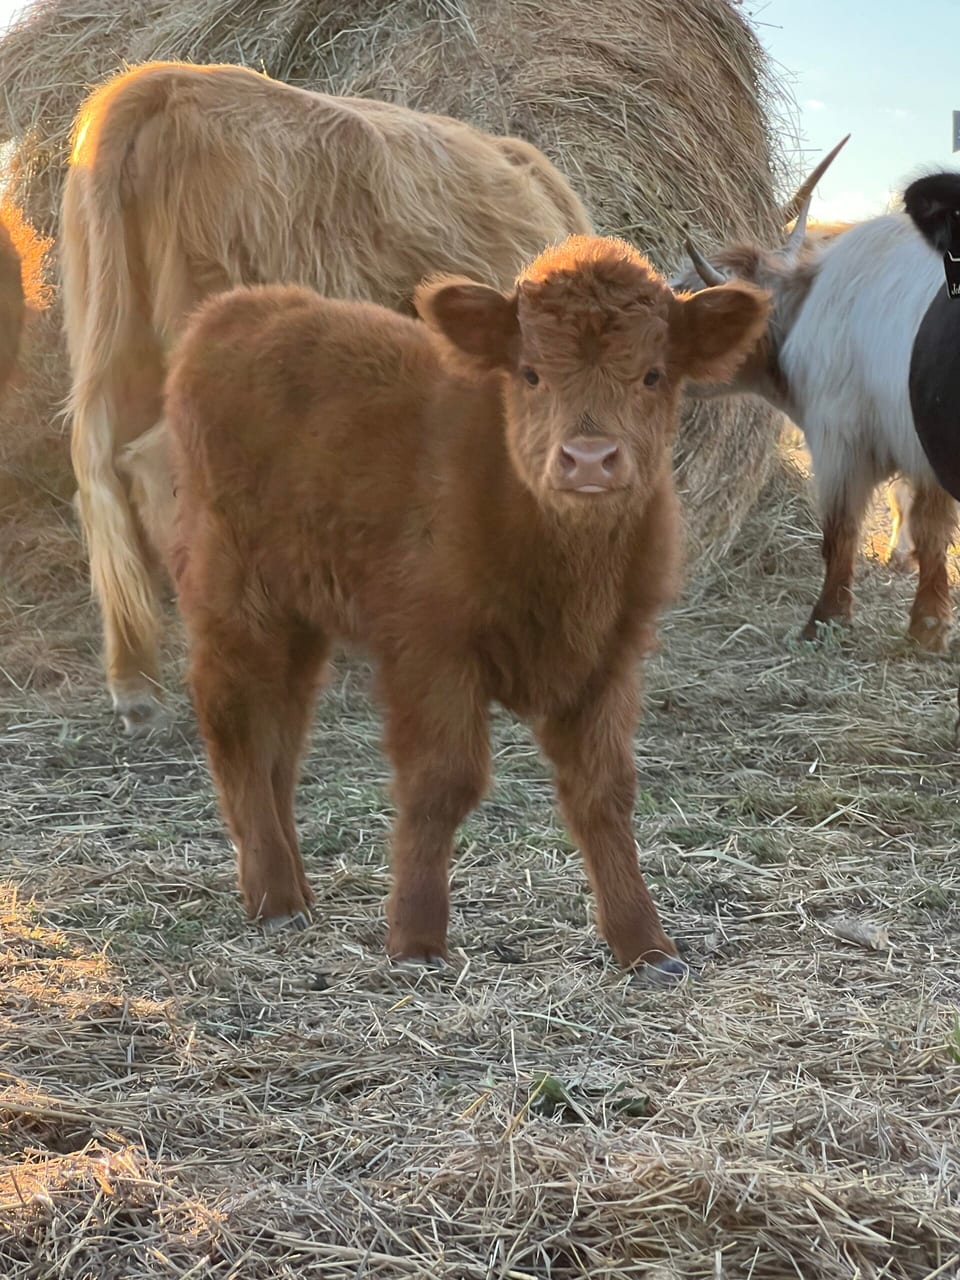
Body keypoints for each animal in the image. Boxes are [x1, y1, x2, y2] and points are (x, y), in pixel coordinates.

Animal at [164, 235, 769, 978]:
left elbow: (605, 793)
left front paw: (645, 944)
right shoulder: (431, 651)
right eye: (531, 373)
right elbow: (441, 783)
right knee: (237, 721)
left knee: (283, 733)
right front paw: (416, 939)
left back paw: (287, 886)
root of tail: (236, 309)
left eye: (654, 374)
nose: (588, 459)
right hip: (236, 593)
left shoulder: (610, 658)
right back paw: (275, 896)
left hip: (300, 615)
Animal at [677, 139, 959, 652]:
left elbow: (843, 530)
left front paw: (828, 619)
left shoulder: (840, 440)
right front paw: (928, 624)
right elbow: (926, 527)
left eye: (686, 296)